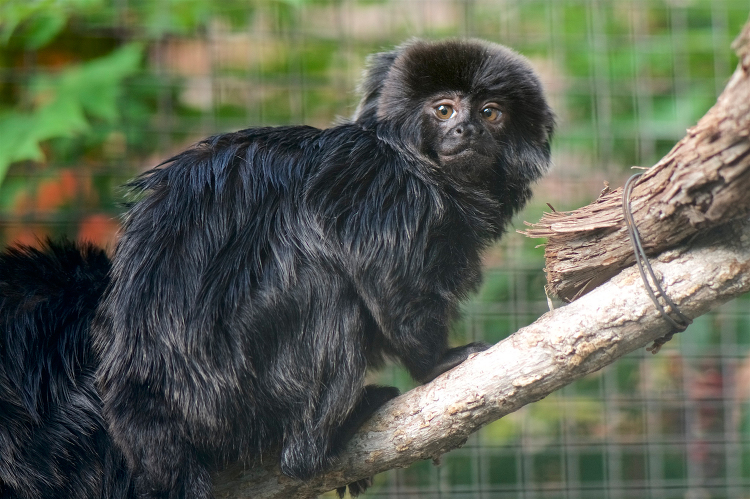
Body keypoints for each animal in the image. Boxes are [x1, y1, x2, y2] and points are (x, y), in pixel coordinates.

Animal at [92, 40, 552, 499]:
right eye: (444, 110)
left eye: (490, 112)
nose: (467, 130)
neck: (412, 159)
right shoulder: (378, 182)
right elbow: (384, 278)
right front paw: (435, 362)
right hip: (226, 391)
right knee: (327, 284)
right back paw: (323, 439)